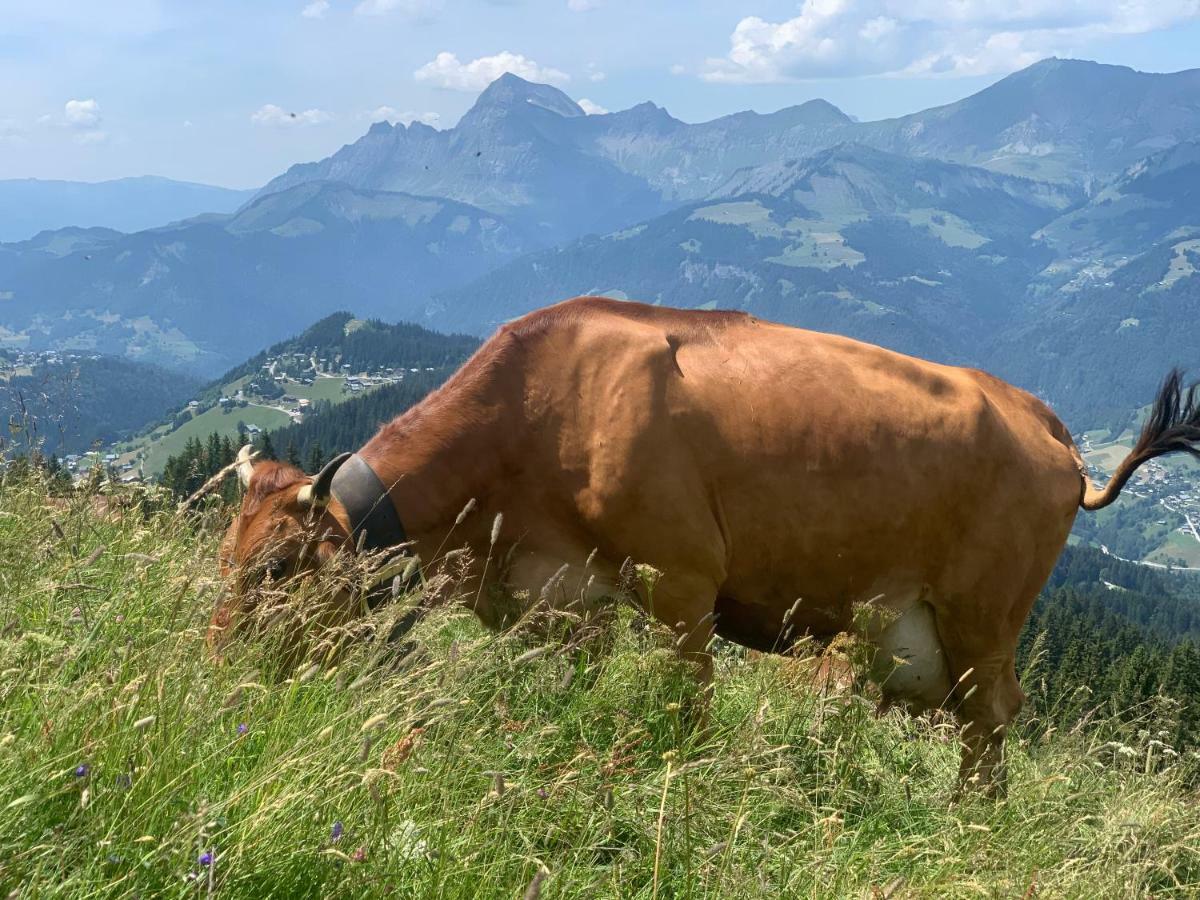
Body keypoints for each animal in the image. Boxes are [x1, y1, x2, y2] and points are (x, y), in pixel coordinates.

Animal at [213, 300, 1200, 792]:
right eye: (223, 555)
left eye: (276, 565)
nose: (216, 664)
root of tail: (1046, 424)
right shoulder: (563, 599)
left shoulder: (682, 584)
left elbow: (686, 709)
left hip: (983, 616)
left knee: (994, 721)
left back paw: (972, 822)